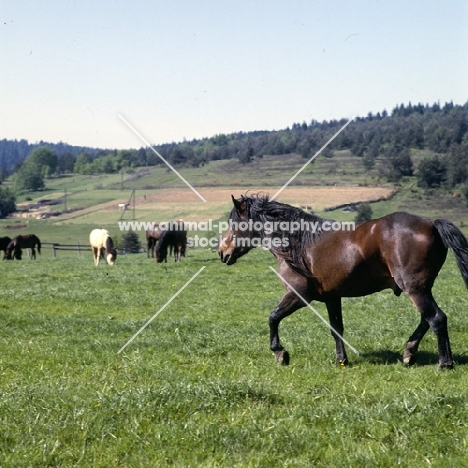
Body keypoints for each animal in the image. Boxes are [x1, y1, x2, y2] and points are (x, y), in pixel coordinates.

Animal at [218, 194, 468, 370]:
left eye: (234, 223)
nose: (222, 252)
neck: (299, 244)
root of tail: (432, 223)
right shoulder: (332, 297)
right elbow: (336, 329)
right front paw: (341, 360)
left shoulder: (298, 295)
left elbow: (273, 317)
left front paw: (280, 353)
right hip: (421, 288)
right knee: (427, 319)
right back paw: (409, 352)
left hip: (415, 289)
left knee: (436, 318)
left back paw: (444, 363)